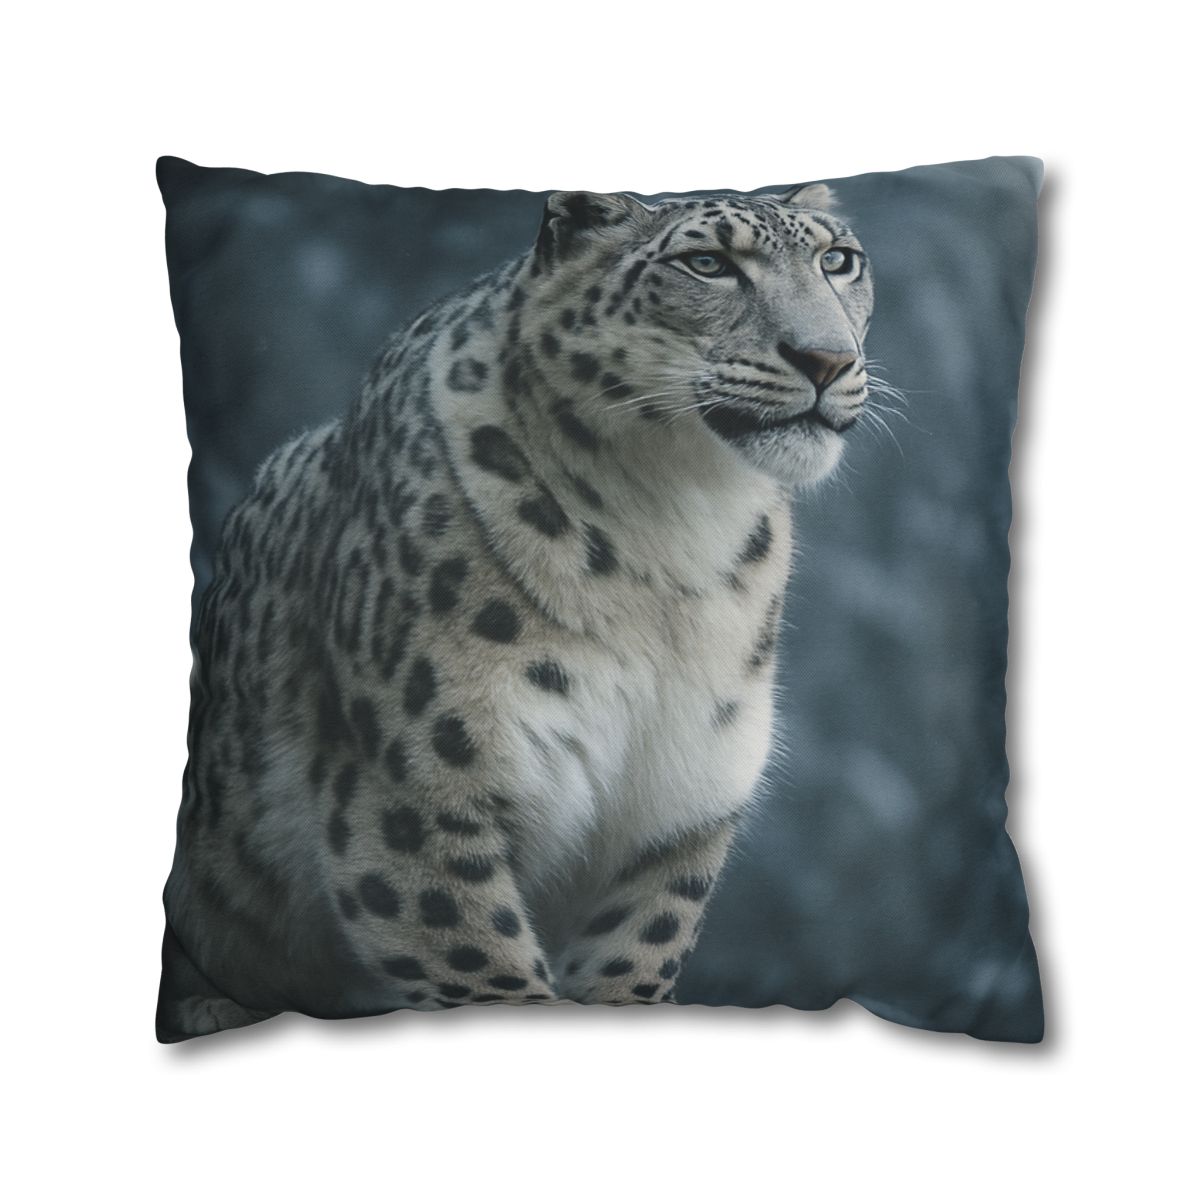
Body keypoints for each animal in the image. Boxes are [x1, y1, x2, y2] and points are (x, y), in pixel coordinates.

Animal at [157, 182, 875, 1040]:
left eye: (838, 260)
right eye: (707, 264)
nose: (828, 358)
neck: (681, 533)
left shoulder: (676, 818)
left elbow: (635, 959)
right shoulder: (414, 800)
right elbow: (483, 963)